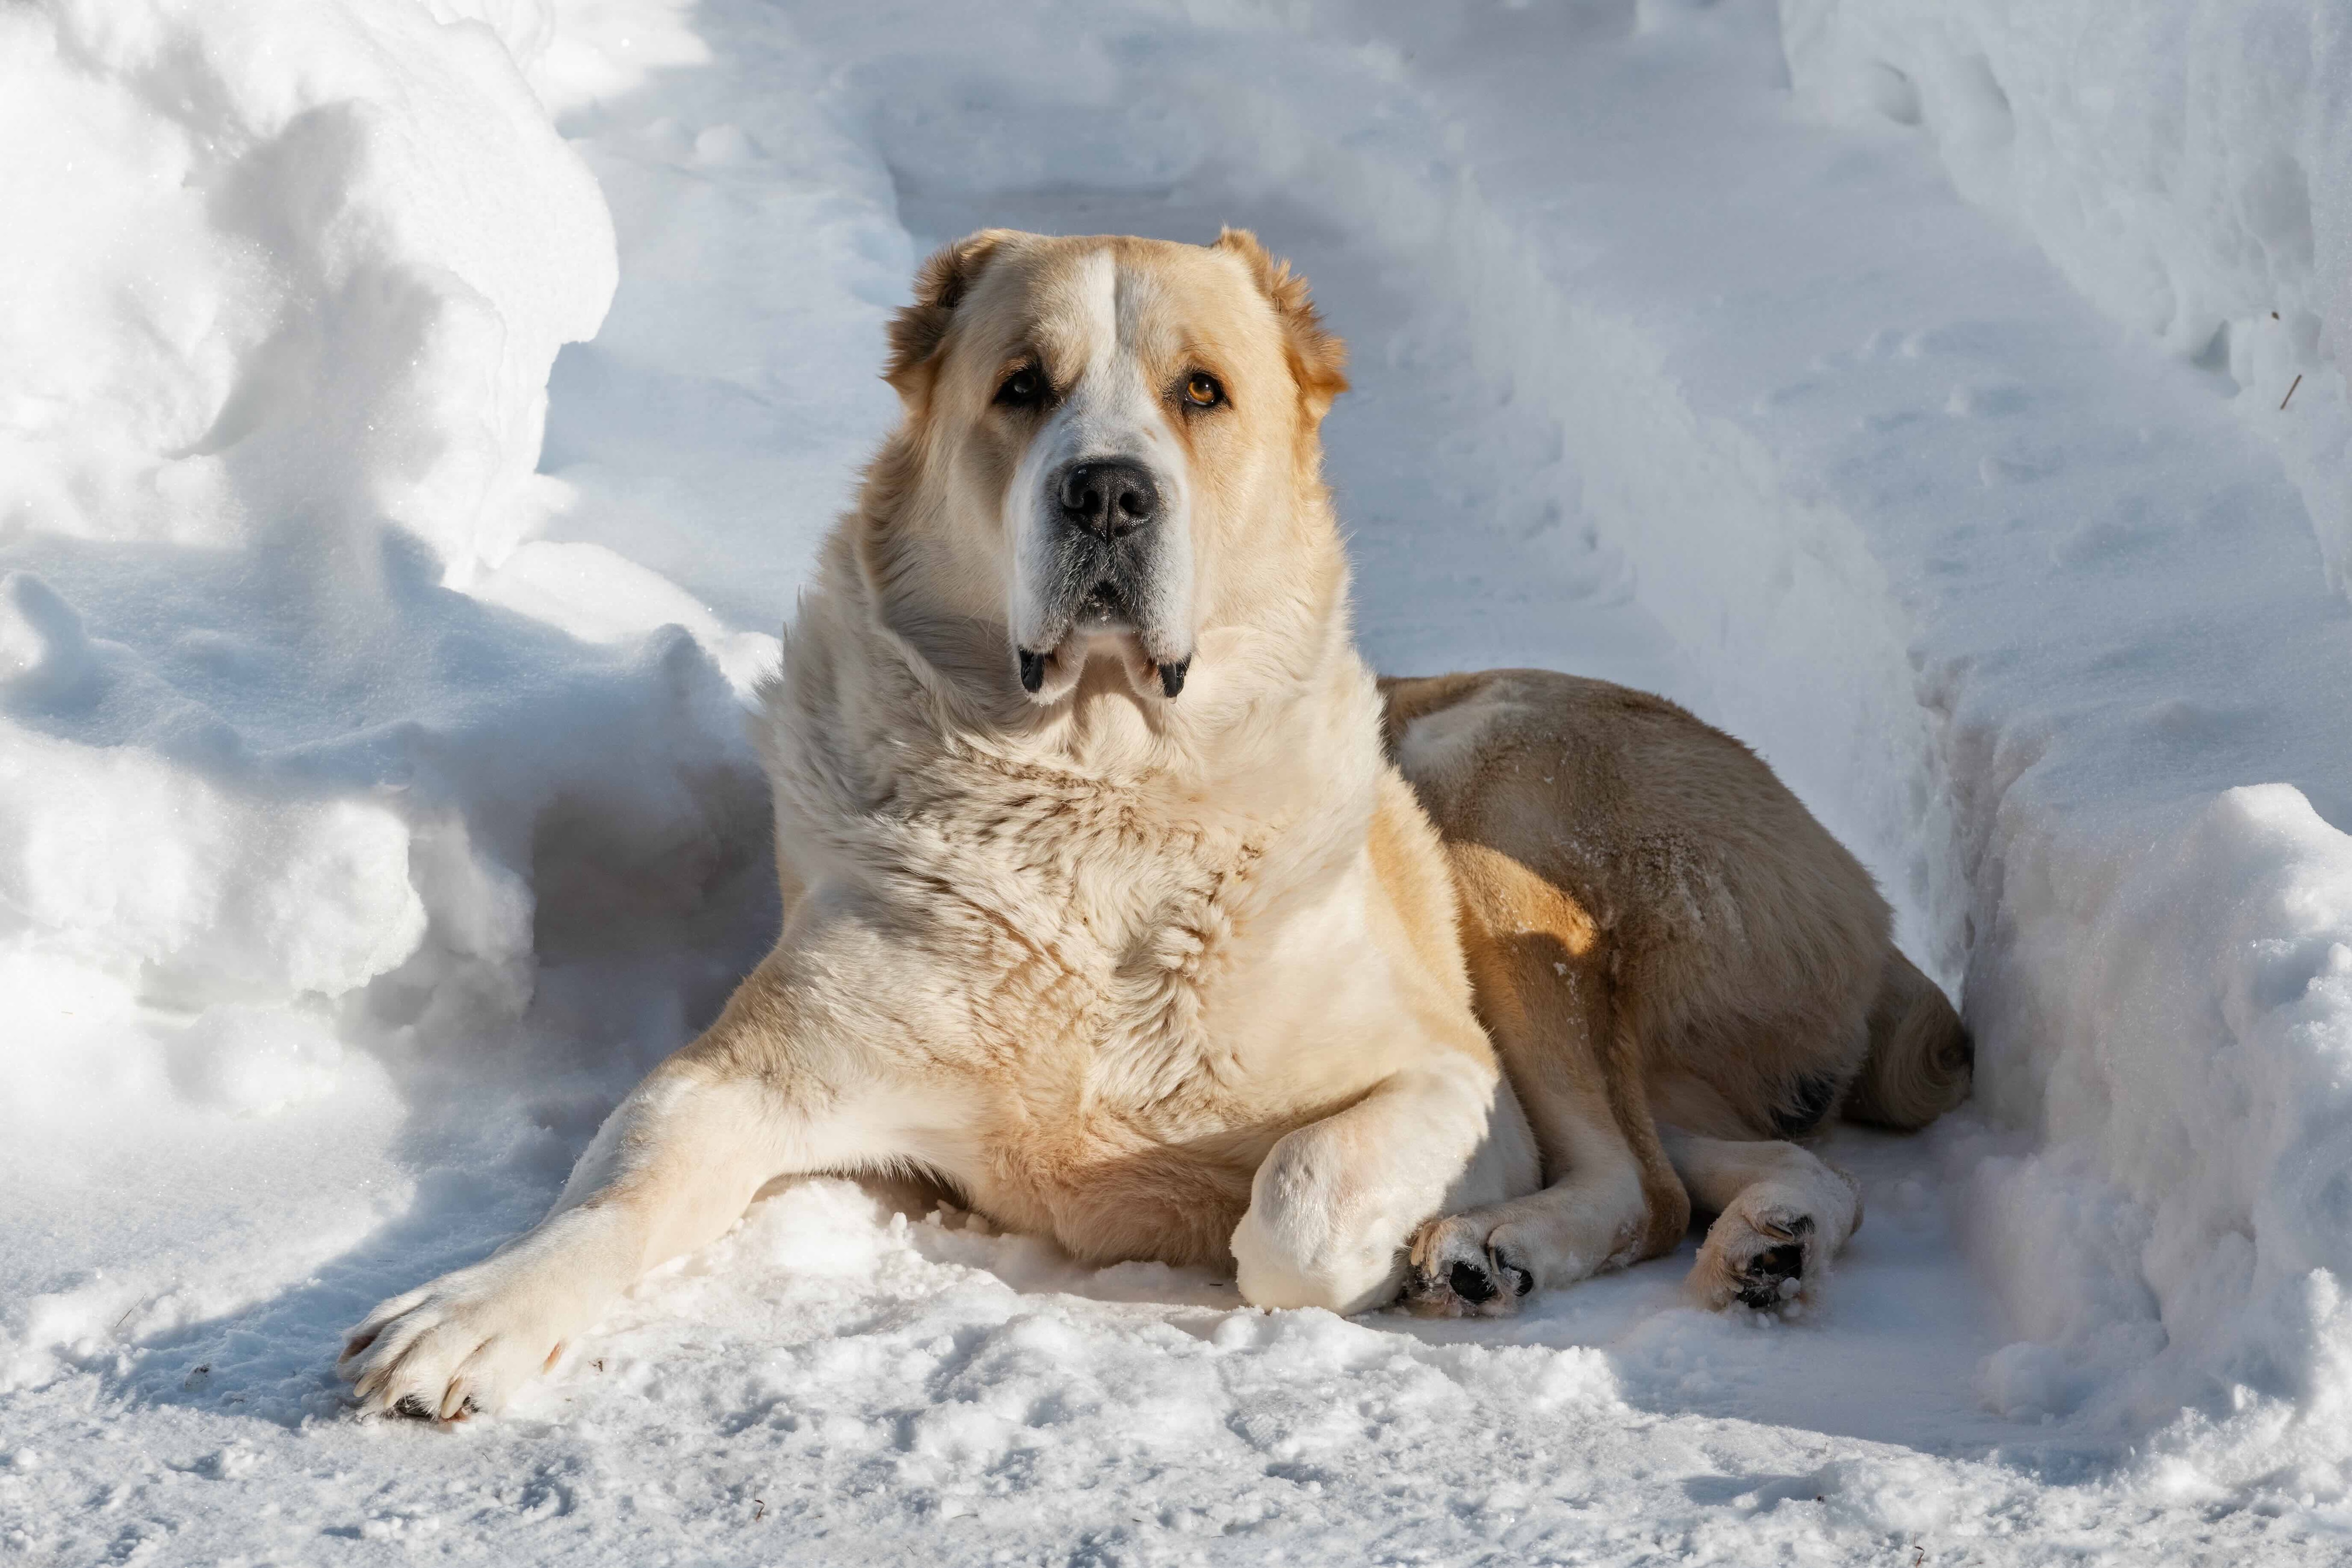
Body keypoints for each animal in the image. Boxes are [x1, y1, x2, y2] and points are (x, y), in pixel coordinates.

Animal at [341, 230, 1976, 1420]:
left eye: (1201, 391)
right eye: (1021, 384)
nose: (1110, 493)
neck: (1095, 797)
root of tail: (1881, 912)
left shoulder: (1443, 1072)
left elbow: (1294, 1210)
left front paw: (1400, 1237)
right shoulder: (751, 1071)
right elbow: (627, 1178)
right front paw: (473, 1312)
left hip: (1492, 786)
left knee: (1638, 1177)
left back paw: (1501, 1248)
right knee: (1745, 1164)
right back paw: (1764, 1244)